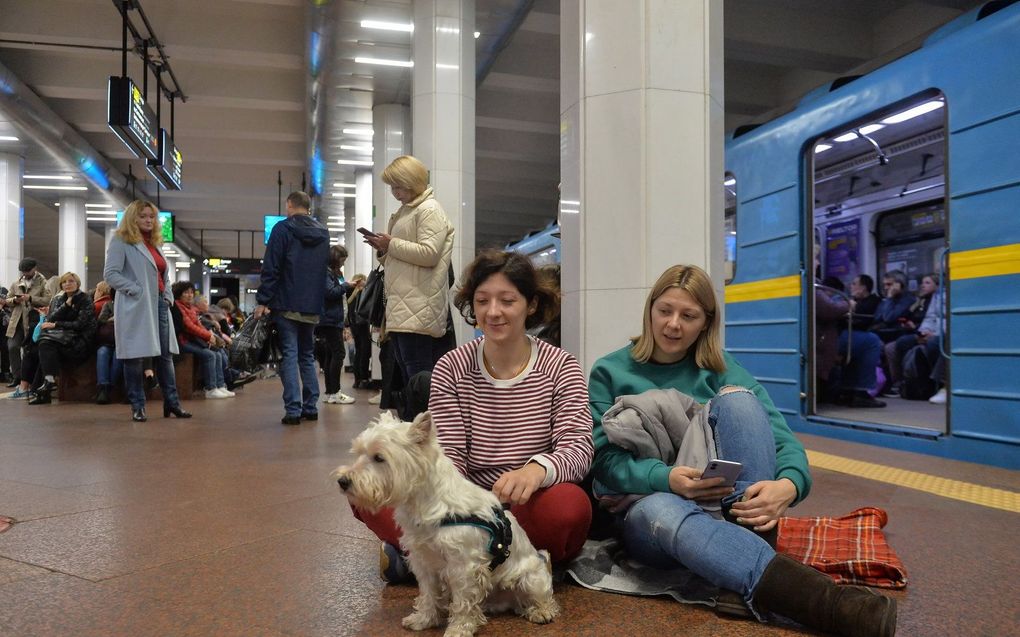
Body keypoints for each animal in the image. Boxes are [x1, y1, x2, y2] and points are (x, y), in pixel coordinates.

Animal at [332, 409, 558, 631]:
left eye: (379, 457)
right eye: (358, 453)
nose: (342, 481)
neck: (425, 505)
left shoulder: (463, 566)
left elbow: (463, 602)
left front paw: (459, 629)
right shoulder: (423, 561)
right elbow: (429, 594)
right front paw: (423, 619)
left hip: (530, 578)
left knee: (542, 598)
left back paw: (541, 611)